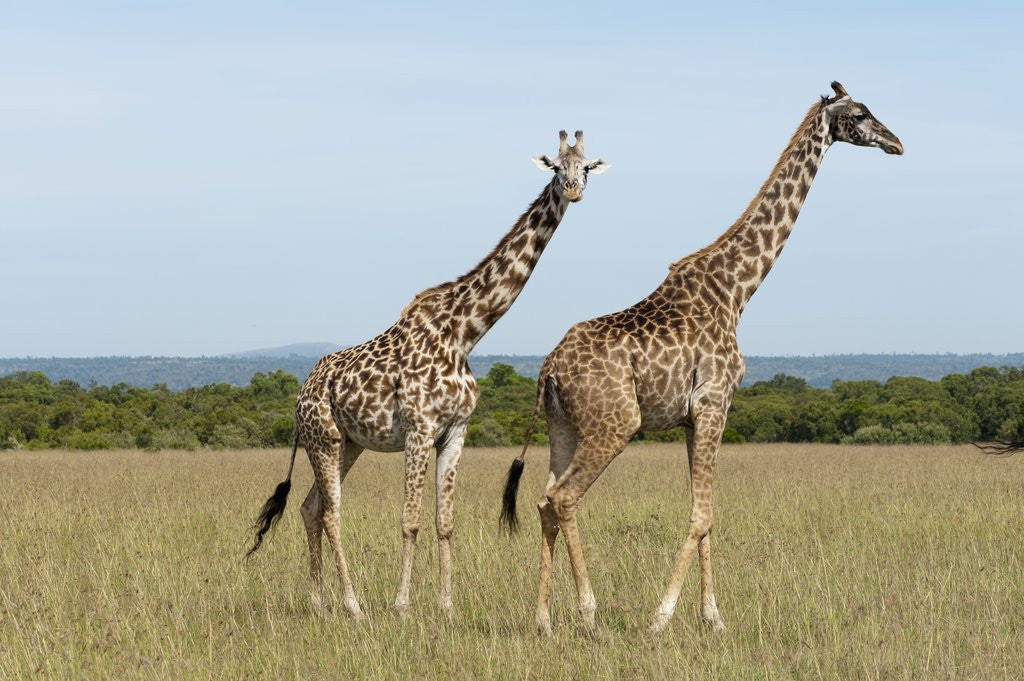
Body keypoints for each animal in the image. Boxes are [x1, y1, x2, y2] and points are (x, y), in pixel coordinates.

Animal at [247, 130, 610, 620]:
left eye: (586, 166)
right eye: (556, 166)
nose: (573, 189)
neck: (464, 333)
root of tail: (301, 394)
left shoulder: (455, 431)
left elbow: (444, 522)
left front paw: (447, 606)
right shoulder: (419, 430)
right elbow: (410, 520)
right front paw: (401, 606)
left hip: (348, 444)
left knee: (310, 506)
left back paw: (319, 602)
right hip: (323, 439)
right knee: (330, 512)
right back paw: (353, 605)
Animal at [499, 82, 903, 636]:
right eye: (860, 114)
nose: (896, 143)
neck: (737, 290)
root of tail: (548, 369)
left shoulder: (695, 417)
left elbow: (705, 512)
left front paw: (714, 618)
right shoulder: (715, 404)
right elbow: (701, 515)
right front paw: (661, 618)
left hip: (563, 426)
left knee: (544, 500)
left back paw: (543, 620)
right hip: (615, 423)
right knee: (564, 498)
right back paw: (588, 614)